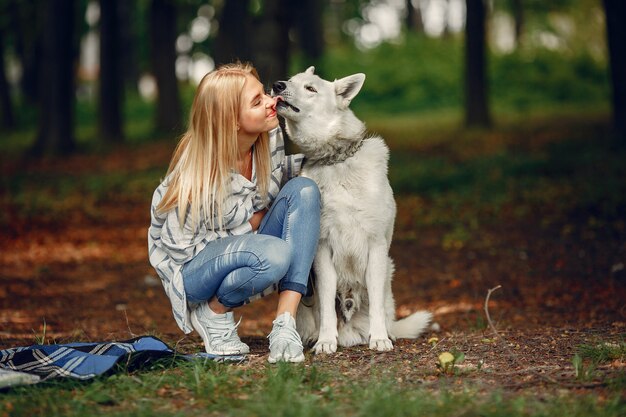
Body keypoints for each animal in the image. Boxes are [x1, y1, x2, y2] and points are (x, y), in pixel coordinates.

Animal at [270, 67, 432, 352]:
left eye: (311, 88)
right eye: (290, 80)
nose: (278, 85)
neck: (335, 160)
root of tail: (350, 332)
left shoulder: (376, 246)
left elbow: (376, 302)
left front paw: (379, 339)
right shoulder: (322, 249)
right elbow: (326, 304)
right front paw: (325, 341)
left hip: (387, 271)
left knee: (384, 313)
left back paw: (384, 333)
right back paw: (315, 337)